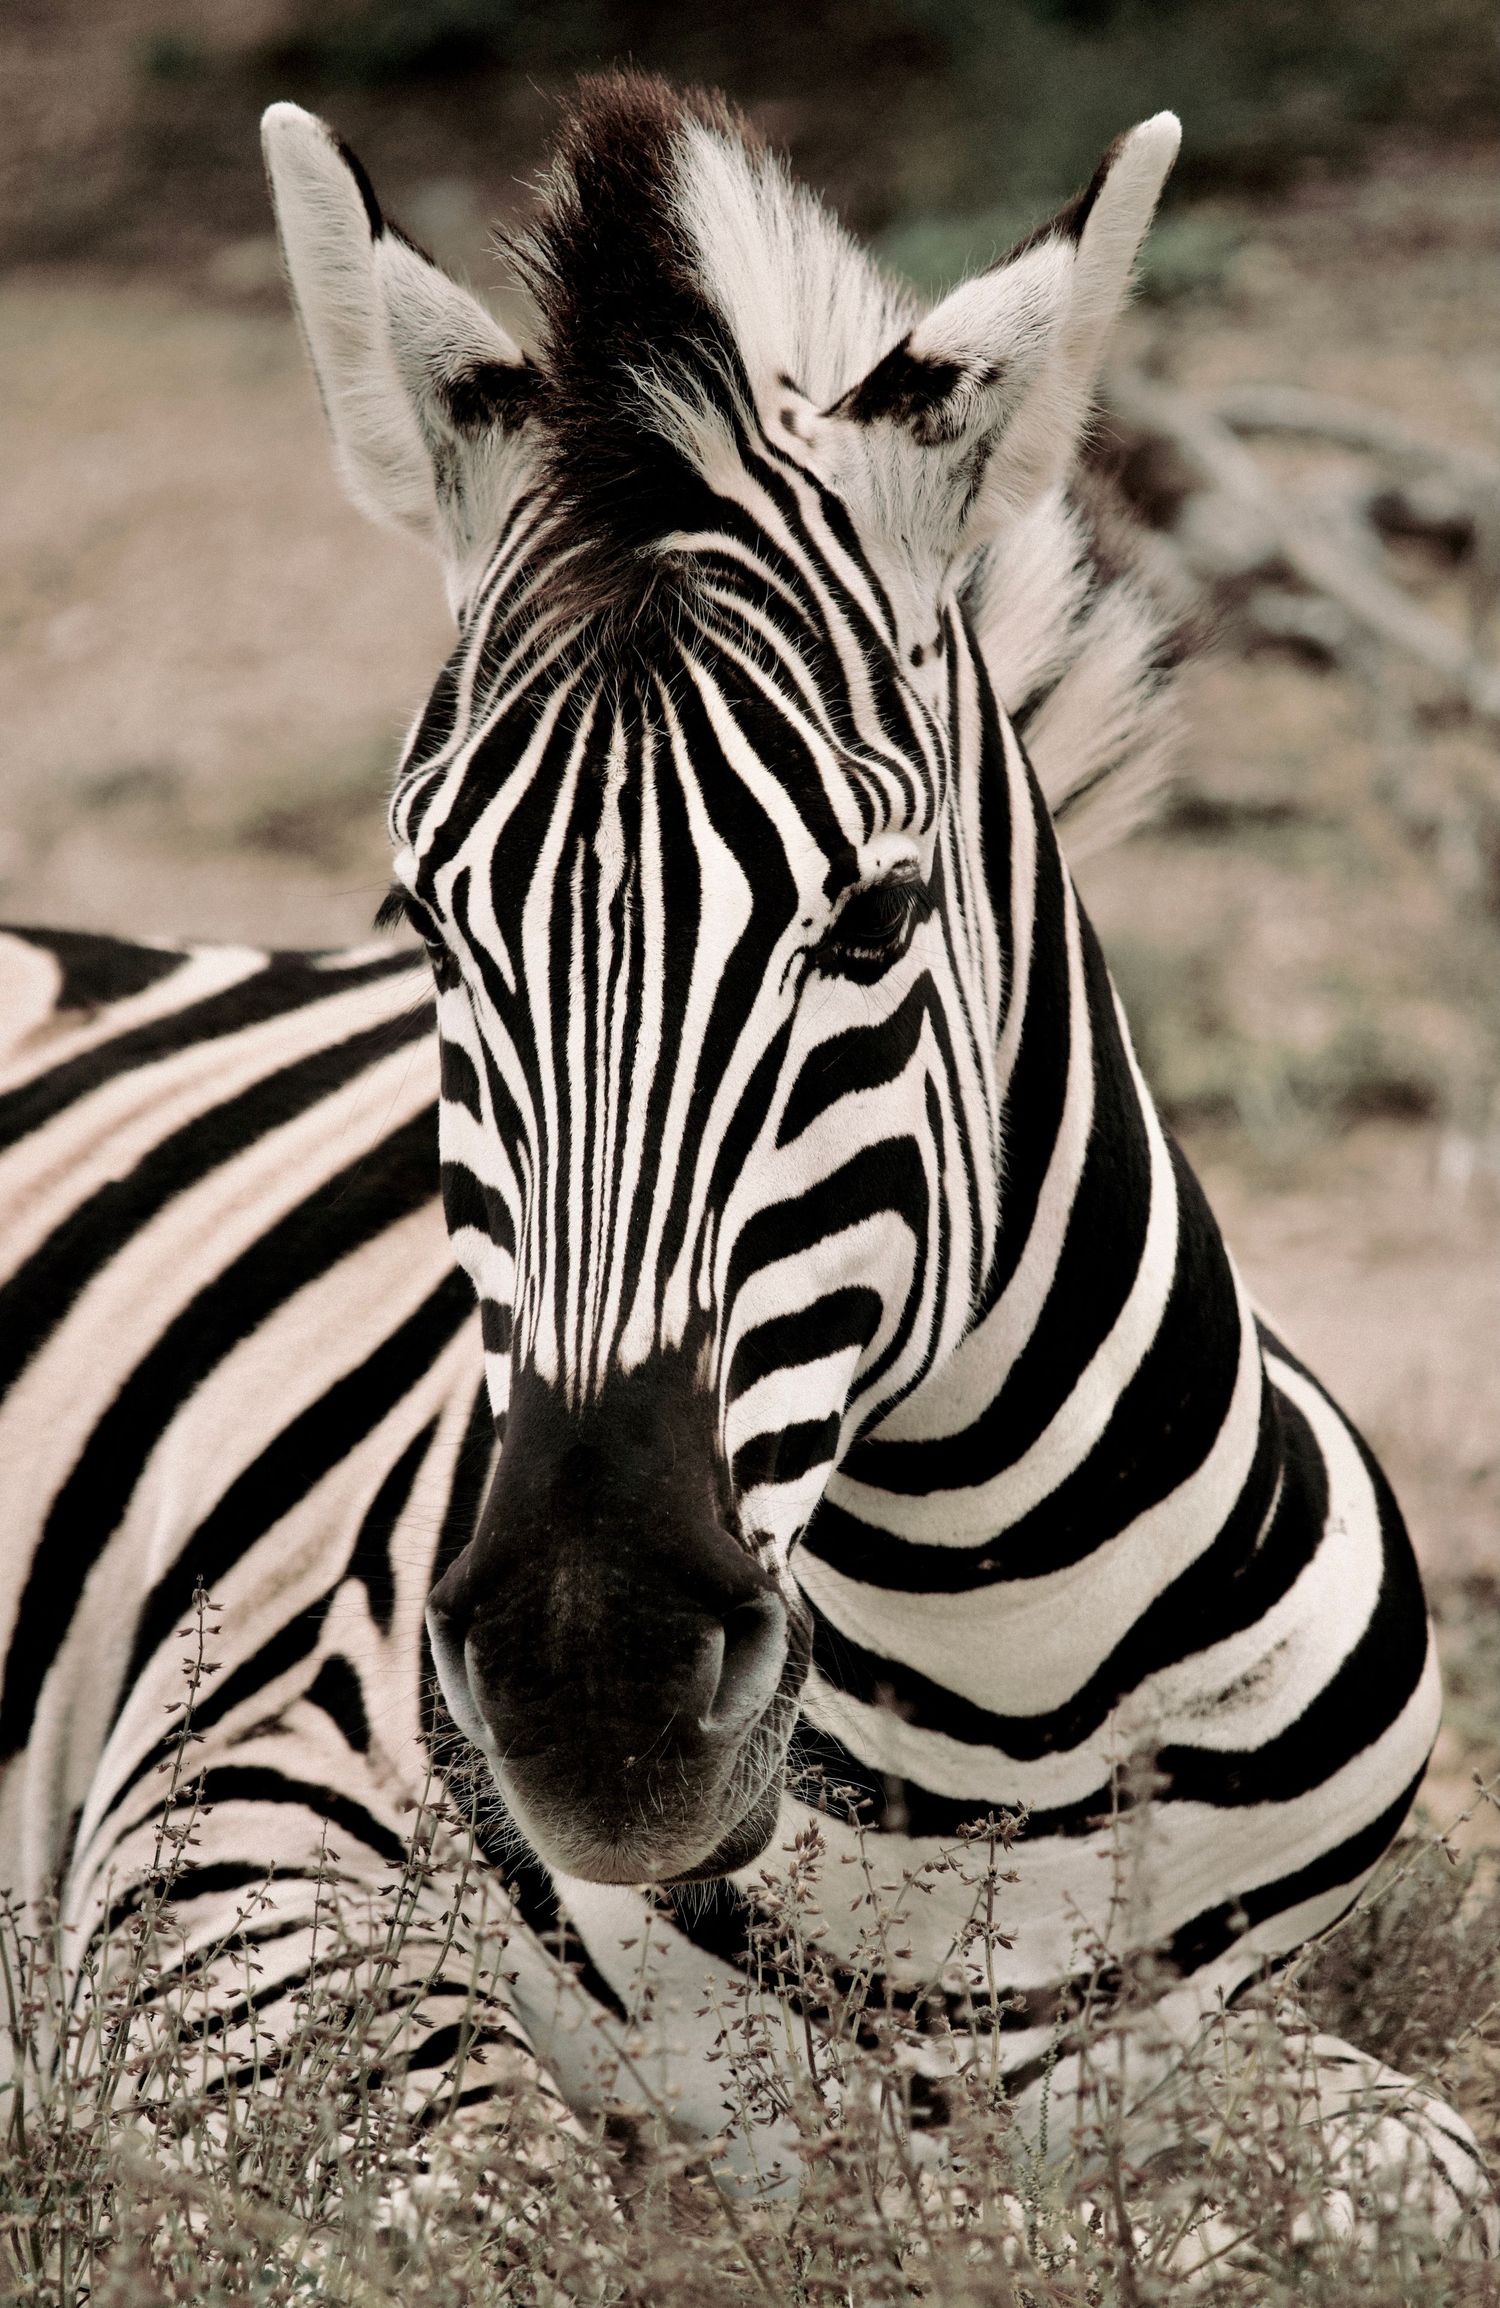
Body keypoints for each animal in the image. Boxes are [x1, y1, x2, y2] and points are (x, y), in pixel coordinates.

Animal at [0, 70, 1491, 2258]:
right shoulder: (225, 1813)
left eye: (873, 919)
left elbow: (1419, 2173)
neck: (994, 1685)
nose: (594, 1688)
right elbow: (496, 2203)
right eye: (431, 928)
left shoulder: (1201, 2032)